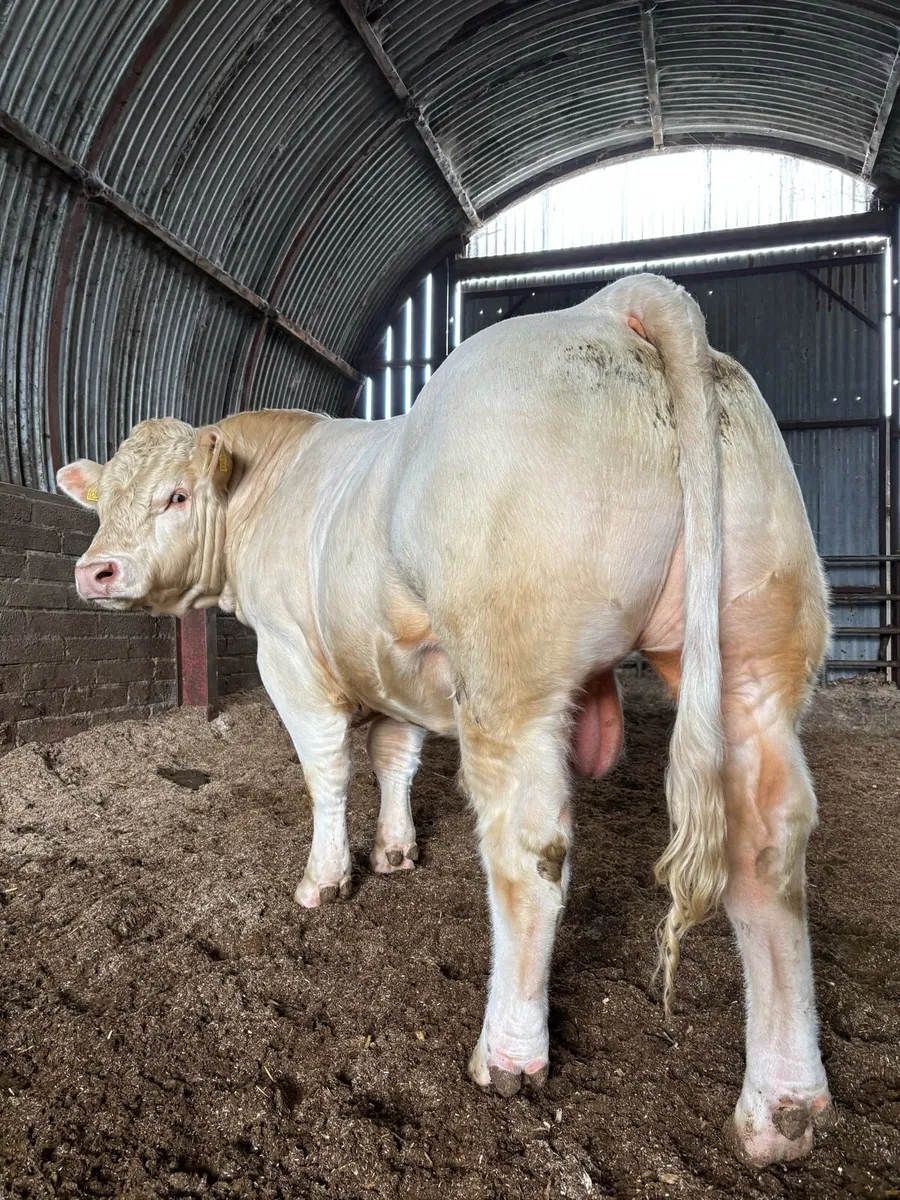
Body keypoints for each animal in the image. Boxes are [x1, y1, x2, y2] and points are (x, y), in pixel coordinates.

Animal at [58, 274, 834, 1165]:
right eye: (104, 502)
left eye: (176, 495)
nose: (94, 570)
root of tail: (614, 305)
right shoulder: (397, 668)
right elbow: (395, 754)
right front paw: (395, 851)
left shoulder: (289, 658)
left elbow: (326, 771)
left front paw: (327, 878)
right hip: (754, 664)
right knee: (768, 851)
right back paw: (783, 1106)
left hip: (512, 674)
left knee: (530, 854)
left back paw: (509, 1053)